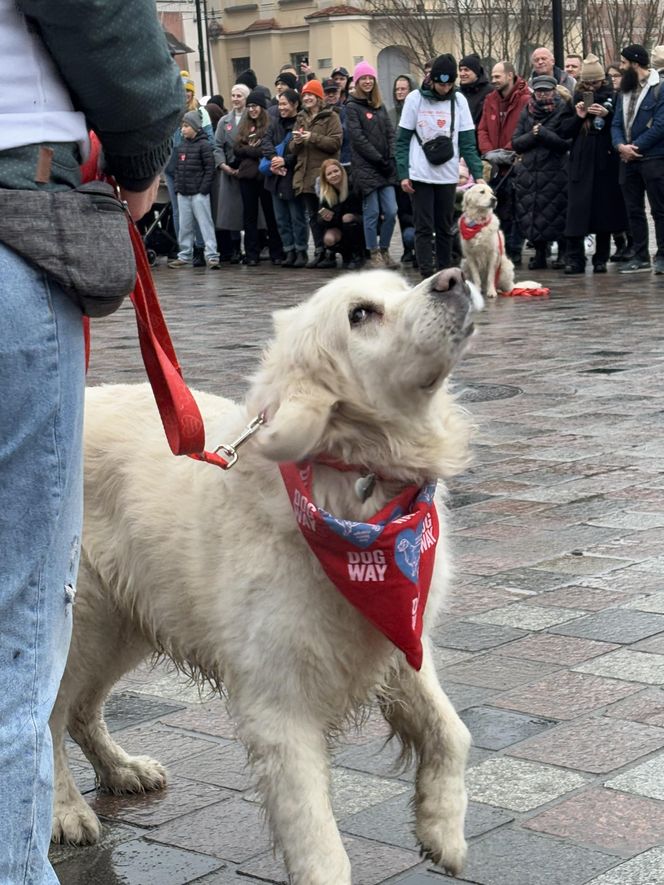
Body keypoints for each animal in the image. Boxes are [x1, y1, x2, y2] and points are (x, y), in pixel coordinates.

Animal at [48, 266, 482, 880]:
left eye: (401, 286)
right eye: (361, 314)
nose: (454, 277)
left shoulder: (396, 637)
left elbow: (452, 731)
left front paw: (440, 829)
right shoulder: (280, 702)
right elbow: (318, 844)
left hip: (129, 622)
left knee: (83, 709)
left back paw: (122, 770)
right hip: (80, 619)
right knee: (49, 716)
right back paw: (65, 810)